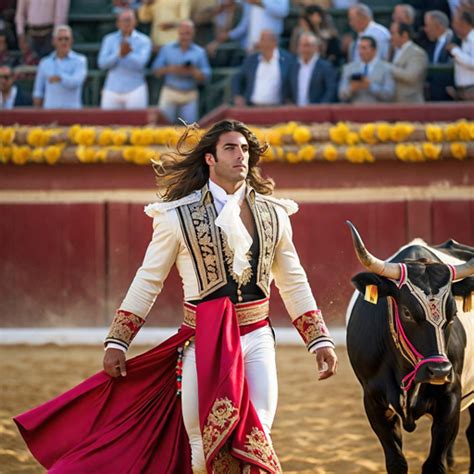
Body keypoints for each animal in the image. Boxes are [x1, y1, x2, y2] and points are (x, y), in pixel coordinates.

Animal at [346, 229, 472, 470]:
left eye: (453, 313)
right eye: (406, 312)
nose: (439, 371)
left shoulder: (451, 398)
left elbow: (434, 464)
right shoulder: (374, 402)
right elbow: (396, 462)